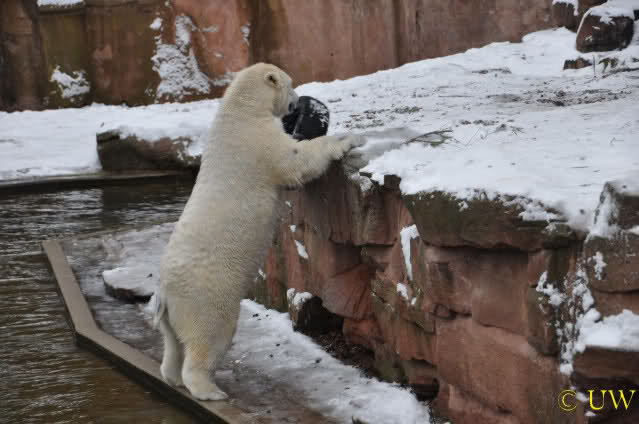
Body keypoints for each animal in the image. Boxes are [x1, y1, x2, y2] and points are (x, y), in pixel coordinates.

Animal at [154, 62, 365, 401]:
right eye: (291, 84)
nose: (297, 99)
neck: (238, 112)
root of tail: (164, 294)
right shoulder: (257, 142)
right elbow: (296, 160)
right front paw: (350, 138)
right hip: (206, 296)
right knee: (209, 336)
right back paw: (209, 389)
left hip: (173, 314)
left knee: (173, 343)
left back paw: (172, 377)